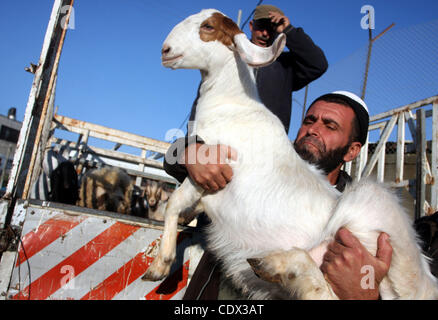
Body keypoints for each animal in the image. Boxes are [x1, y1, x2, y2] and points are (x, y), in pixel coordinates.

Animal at [143, 10, 438, 300]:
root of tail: (425, 282)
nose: (165, 50)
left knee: (324, 291)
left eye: (208, 27)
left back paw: (277, 263)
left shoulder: (209, 171)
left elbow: (174, 202)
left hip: (369, 207)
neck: (231, 104)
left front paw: (160, 266)